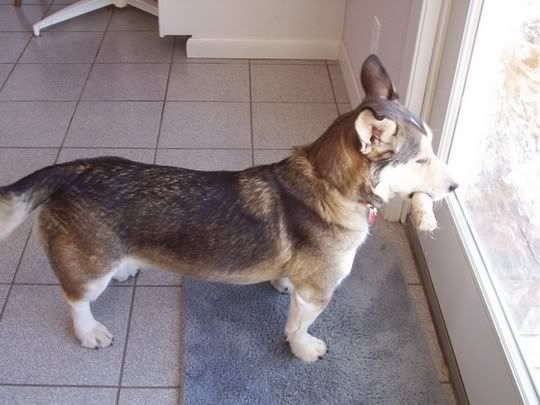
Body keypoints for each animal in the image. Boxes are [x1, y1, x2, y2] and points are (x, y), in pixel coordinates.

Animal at [0, 53, 456, 360]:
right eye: (420, 160)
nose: (455, 187)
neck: (327, 181)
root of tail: (71, 170)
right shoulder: (319, 291)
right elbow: (299, 325)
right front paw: (304, 348)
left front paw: (281, 284)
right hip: (88, 273)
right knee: (75, 298)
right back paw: (89, 331)